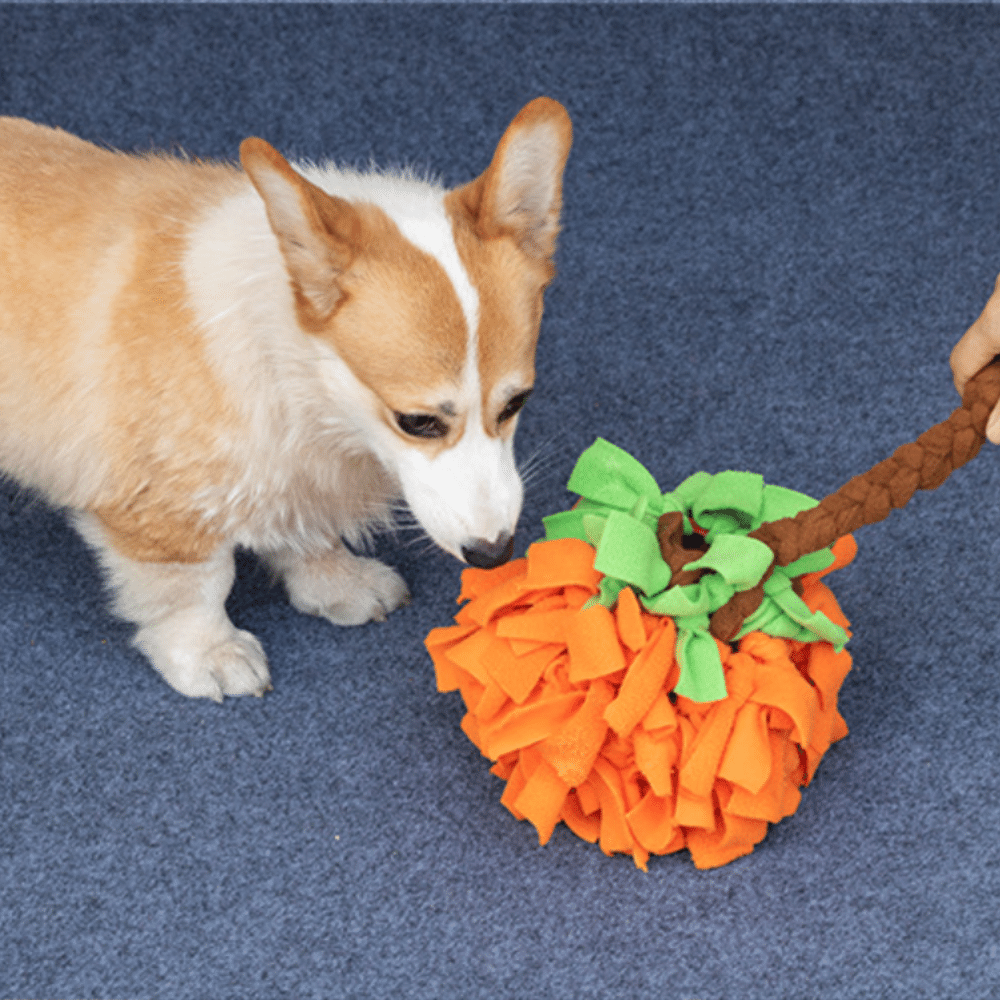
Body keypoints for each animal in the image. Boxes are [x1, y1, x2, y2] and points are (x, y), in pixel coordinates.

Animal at [0, 97, 576, 700]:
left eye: (515, 403)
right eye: (416, 422)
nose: (494, 553)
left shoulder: (299, 477)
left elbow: (308, 534)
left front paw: (337, 582)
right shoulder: (158, 511)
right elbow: (196, 586)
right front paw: (211, 653)